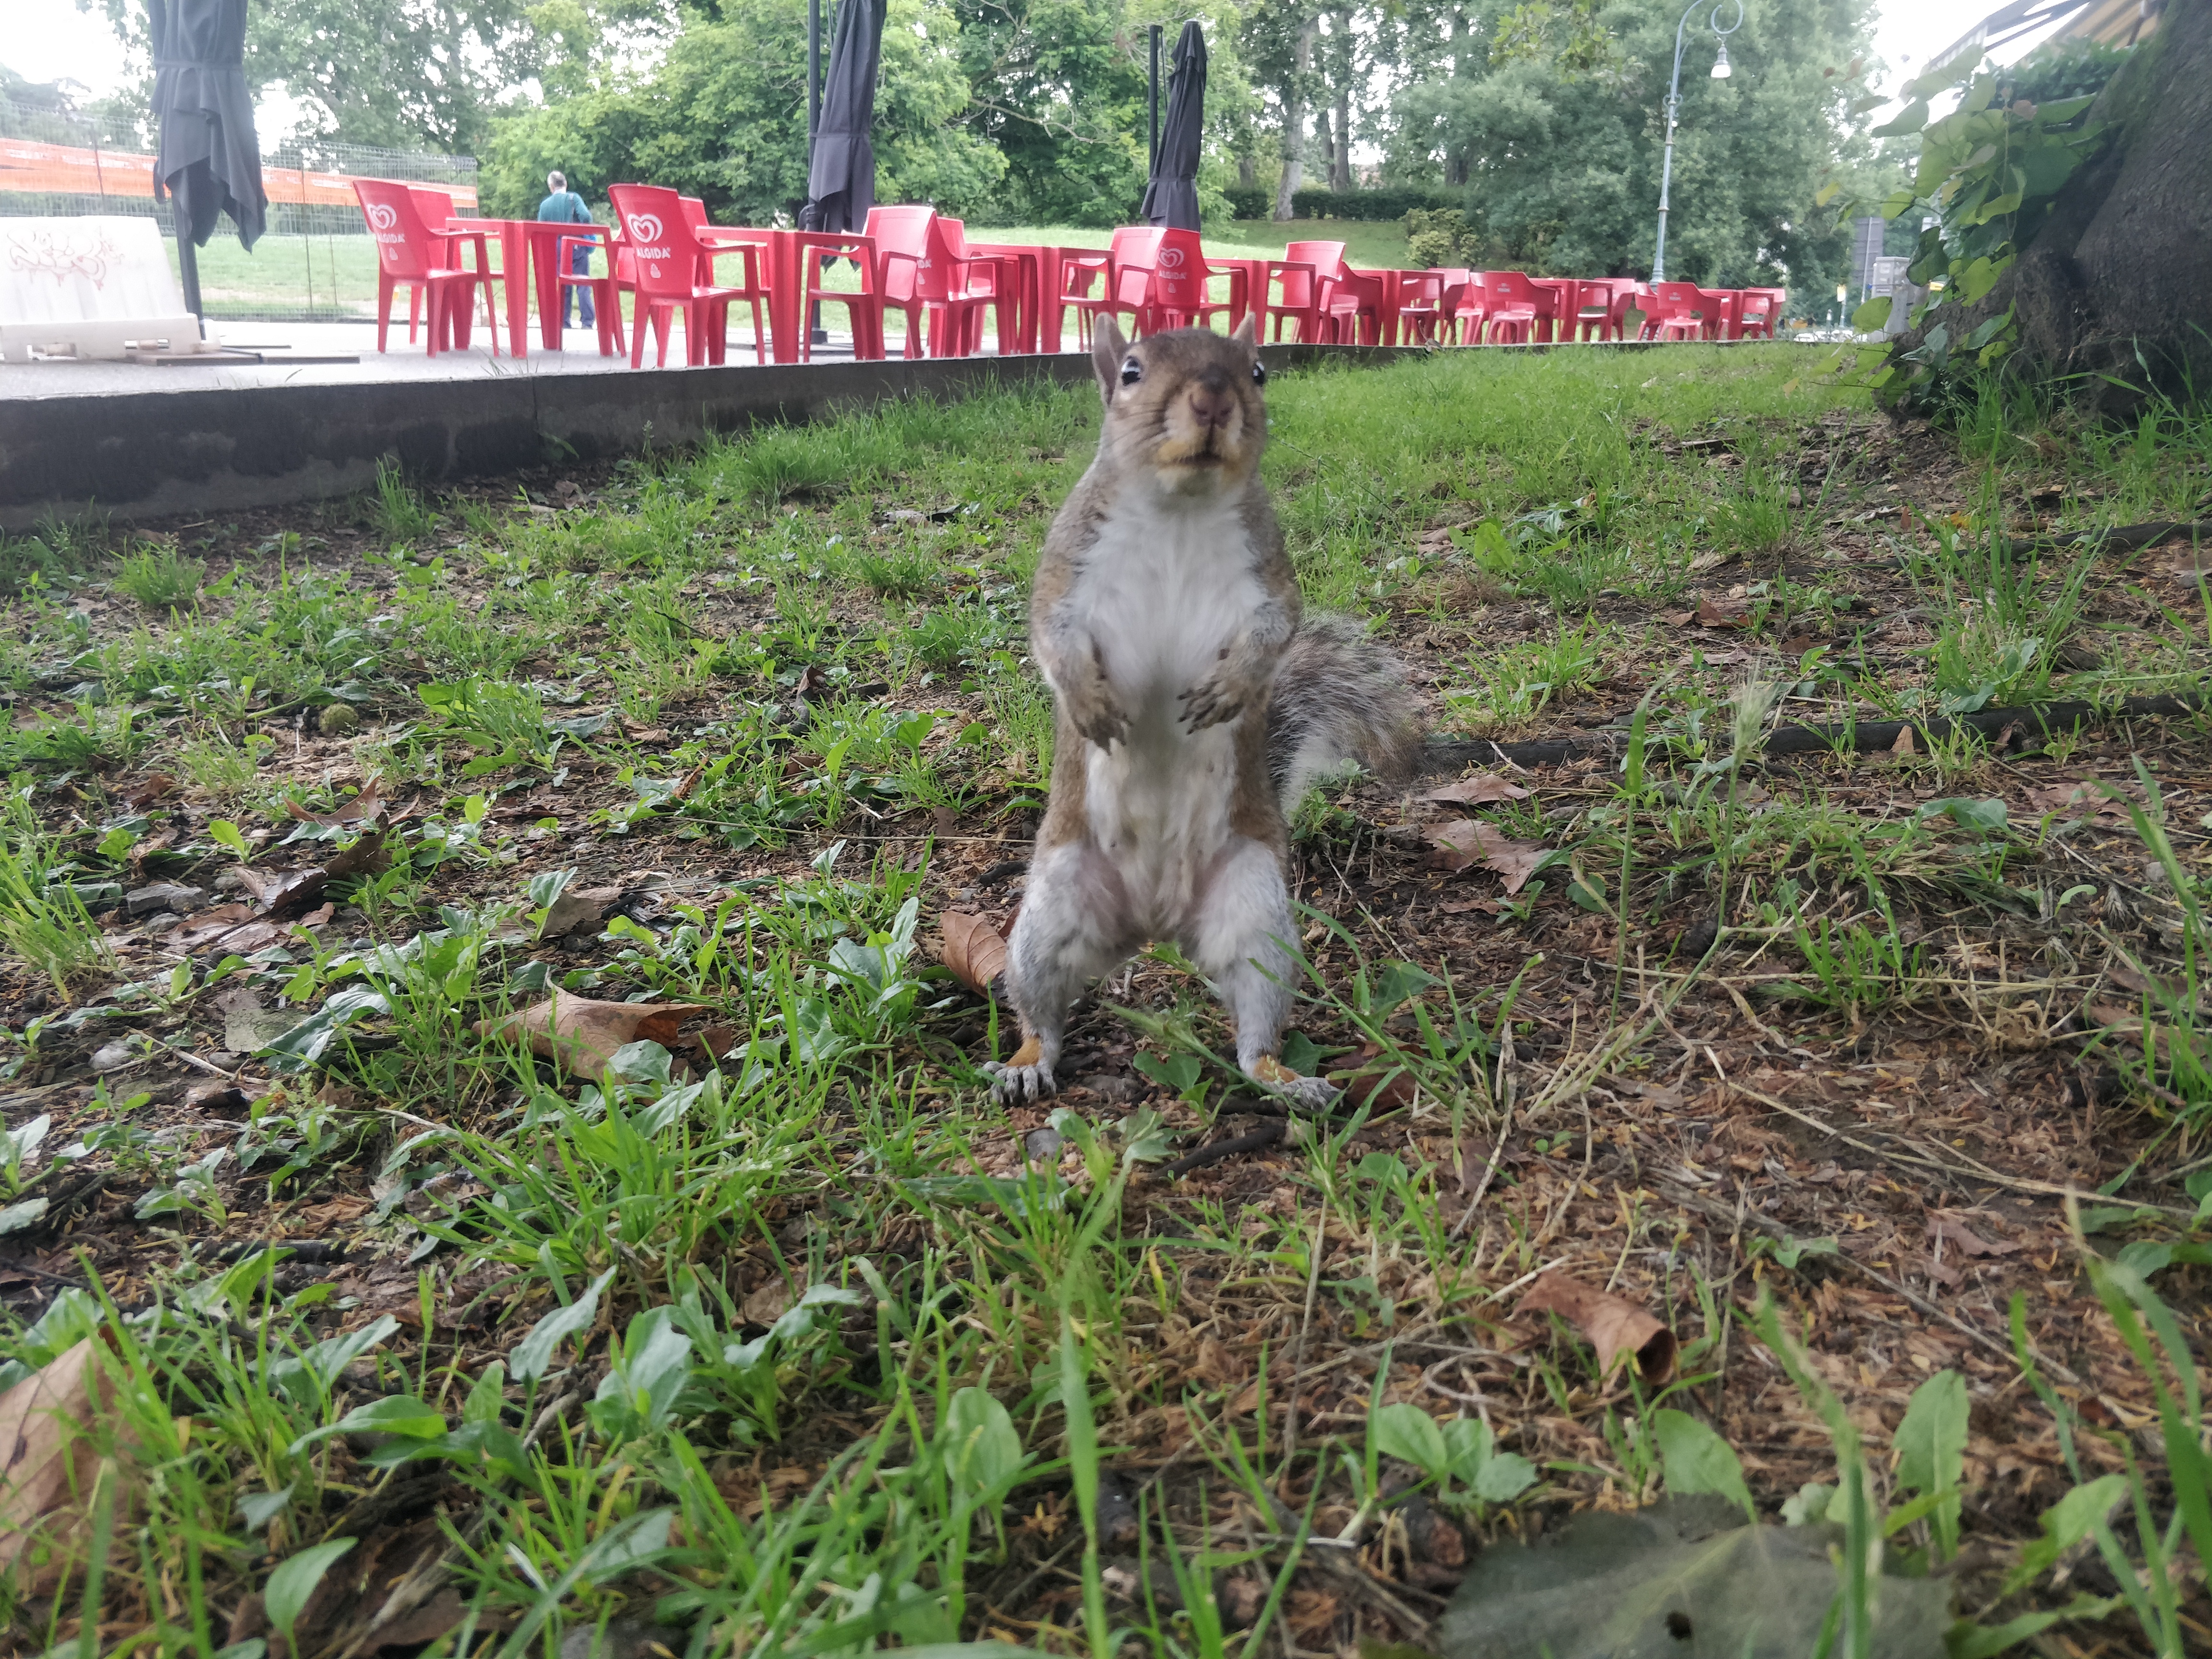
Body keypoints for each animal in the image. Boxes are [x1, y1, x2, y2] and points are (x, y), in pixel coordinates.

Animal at [986, 316, 1416, 1110]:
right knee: (1043, 1010)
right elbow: (1050, 636)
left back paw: (1286, 1079)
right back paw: (1027, 1060)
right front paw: (1090, 702)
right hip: (1051, 911)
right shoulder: (1065, 569)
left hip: (1256, 914)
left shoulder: (1270, 574)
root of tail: (1154, 923)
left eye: (1258, 371)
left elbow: (1276, 630)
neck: (1178, 511)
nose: (1214, 400)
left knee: (1254, 1028)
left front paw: (1232, 688)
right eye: (1129, 371)